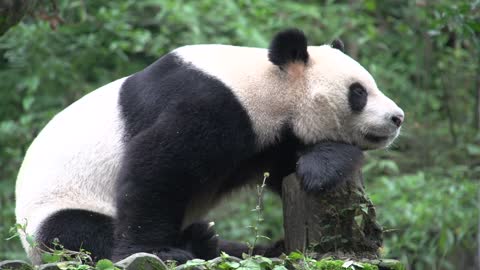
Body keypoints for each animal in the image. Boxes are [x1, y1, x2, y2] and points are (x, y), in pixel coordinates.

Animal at [15, 29, 404, 264]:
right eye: (358, 92)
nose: (397, 117)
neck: (265, 85)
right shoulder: (211, 101)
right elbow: (158, 163)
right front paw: (155, 249)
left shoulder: (266, 140)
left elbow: (286, 166)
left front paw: (323, 166)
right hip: (55, 208)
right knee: (77, 235)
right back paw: (192, 242)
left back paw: (245, 244)